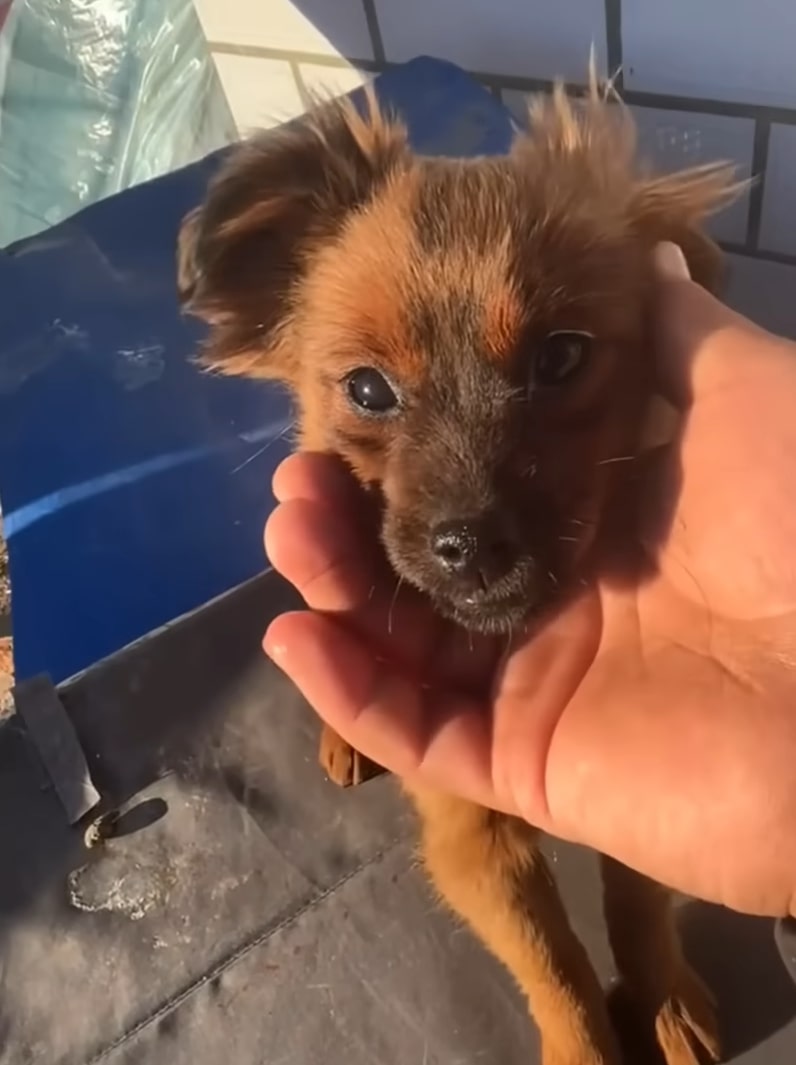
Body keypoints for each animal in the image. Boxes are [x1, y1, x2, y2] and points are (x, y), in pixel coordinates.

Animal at [179, 80, 741, 1065]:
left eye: (562, 357)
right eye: (367, 391)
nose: (467, 543)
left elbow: (635, 907)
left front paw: (666, 1001)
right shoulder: (472, 838)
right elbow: (557, 974)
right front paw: (588, 1045)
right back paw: (343, 734)